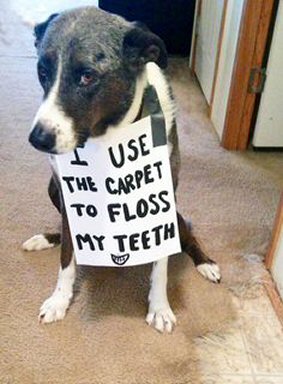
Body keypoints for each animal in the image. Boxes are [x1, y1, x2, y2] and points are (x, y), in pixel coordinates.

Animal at [22, 6, 222, 332]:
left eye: (87, 76)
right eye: (42, 72)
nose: (37, 139)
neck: (106, 142)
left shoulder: (162, 198)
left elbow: (160, 266)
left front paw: (160, 308)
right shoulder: (68, 197)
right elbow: (66, 258)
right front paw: (59, 300)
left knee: (188, 238)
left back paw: (206, 264)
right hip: (52, 189)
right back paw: (45, 239)